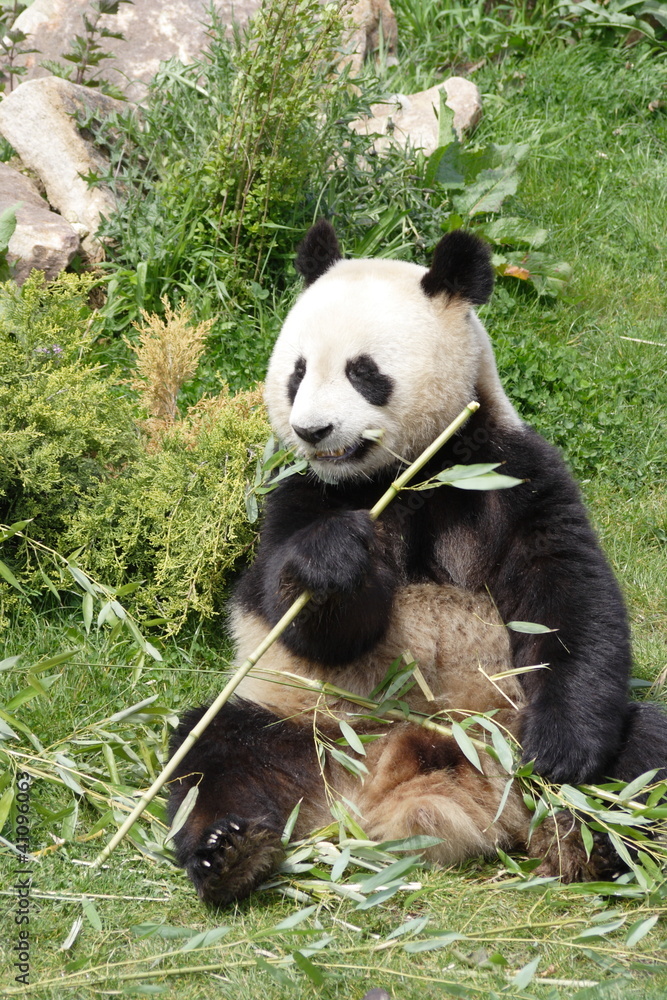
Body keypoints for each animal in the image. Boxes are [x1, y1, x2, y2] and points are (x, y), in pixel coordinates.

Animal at [168, 221, 667, 906]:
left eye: (363, 372)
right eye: (297, 372)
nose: (312, 431)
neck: (406, 472)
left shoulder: (513, 473)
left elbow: (566, 596)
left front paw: (561, 753)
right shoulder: (298, 492)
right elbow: (296, 609)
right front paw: (334, 557)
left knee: (645, 751)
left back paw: (595, 837)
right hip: (307, 724)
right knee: (213, 754)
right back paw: (231, 851)